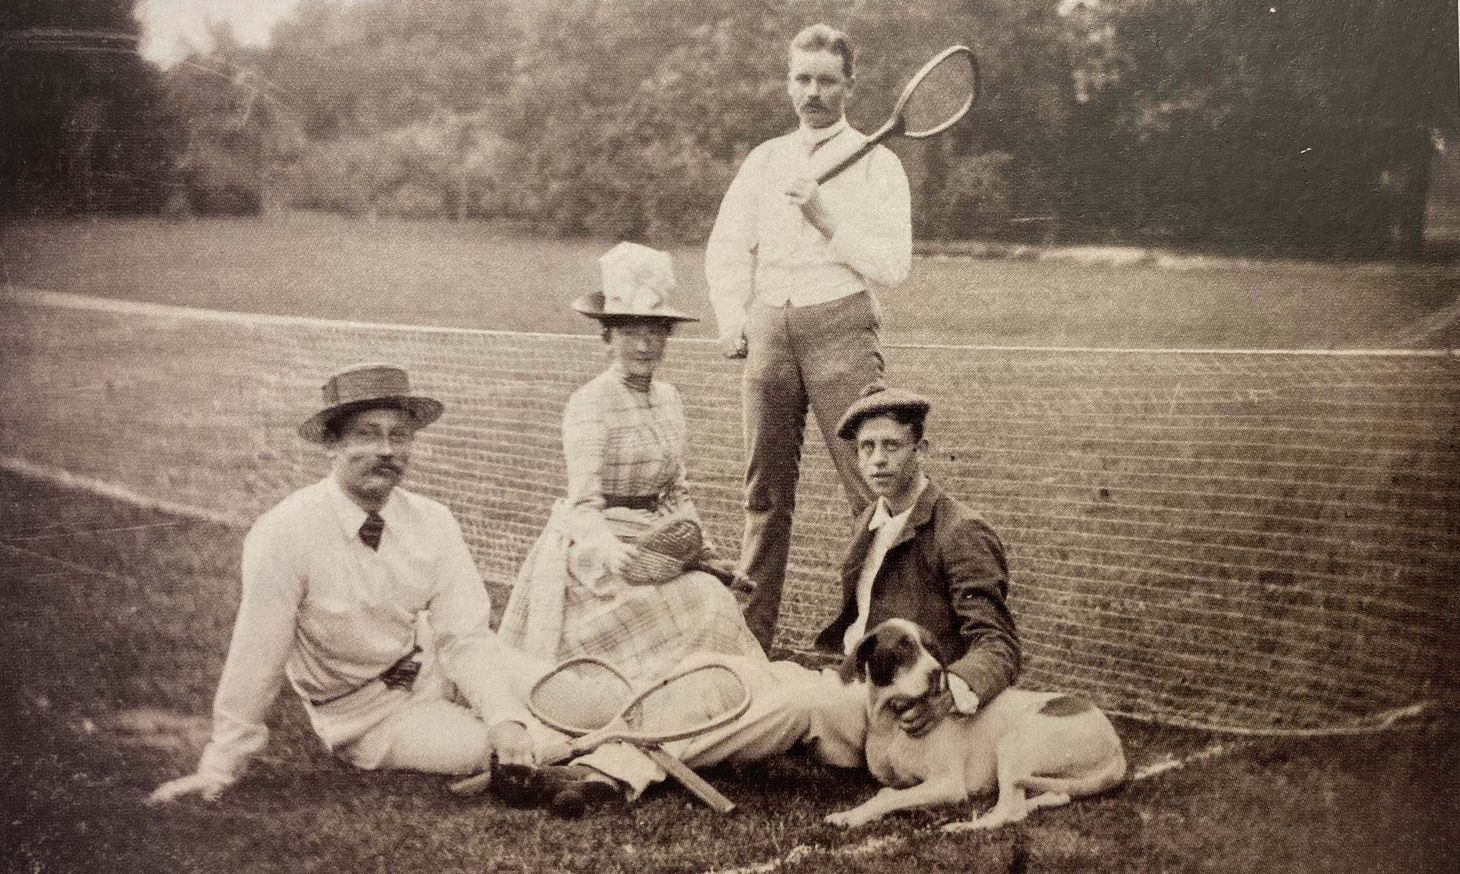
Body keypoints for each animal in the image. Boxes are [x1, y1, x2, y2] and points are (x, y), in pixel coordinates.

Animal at [823, 618, 1127, 828]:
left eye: (932, 648)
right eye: (903, 647)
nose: (937, 672)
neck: (892, 720)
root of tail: (1117, 747)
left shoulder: (947, 784)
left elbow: (889, 797)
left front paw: (853, 816)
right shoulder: (898, 781)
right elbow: (887, 792)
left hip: (1014, 742)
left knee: (1010, 813)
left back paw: (964, 826)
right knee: (1054, 795)